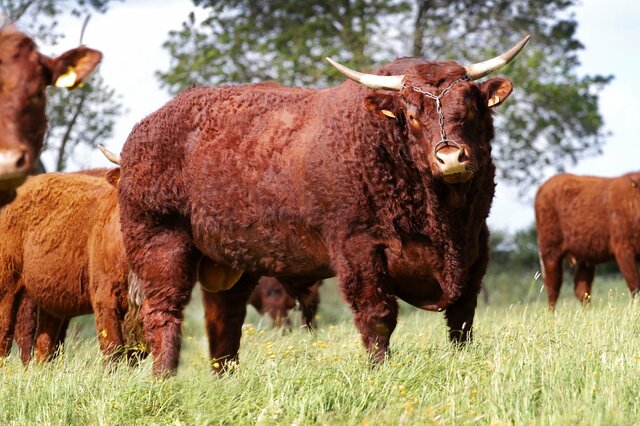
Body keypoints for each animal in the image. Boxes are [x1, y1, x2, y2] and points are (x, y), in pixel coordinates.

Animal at [117, 36, 530, 375]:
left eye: (471, 108)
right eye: (412, 116)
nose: (450, 158)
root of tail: (144, 128)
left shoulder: (476, 245)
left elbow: (462, 316)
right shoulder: (358, 247)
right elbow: (377, 315)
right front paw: (380, 370)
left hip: (230, 260)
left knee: (224, 320)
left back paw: (226, 378)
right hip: (160, 243)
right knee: (163, 312)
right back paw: (164, 378)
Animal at [535, 172, 640, 307]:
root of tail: (545, 185)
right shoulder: (624, 250)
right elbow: (635, 286)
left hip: (585, 256)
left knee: (581, 288)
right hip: (550, 251)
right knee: (553, 287)